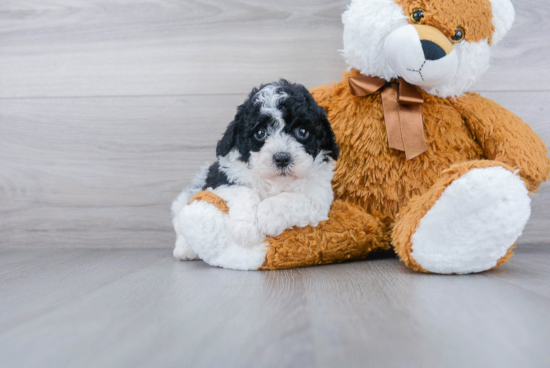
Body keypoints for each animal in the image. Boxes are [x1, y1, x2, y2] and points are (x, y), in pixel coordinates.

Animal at [170, 80, 338, 270]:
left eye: (302, 132)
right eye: (260, 133)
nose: (282, 158)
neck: (275, 180)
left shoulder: (319, 198)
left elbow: (292, 199)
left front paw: (267, 217)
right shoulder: (222, 178)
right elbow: (244, 191)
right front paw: (246, 231)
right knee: (180, 222)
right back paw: (184, 250)